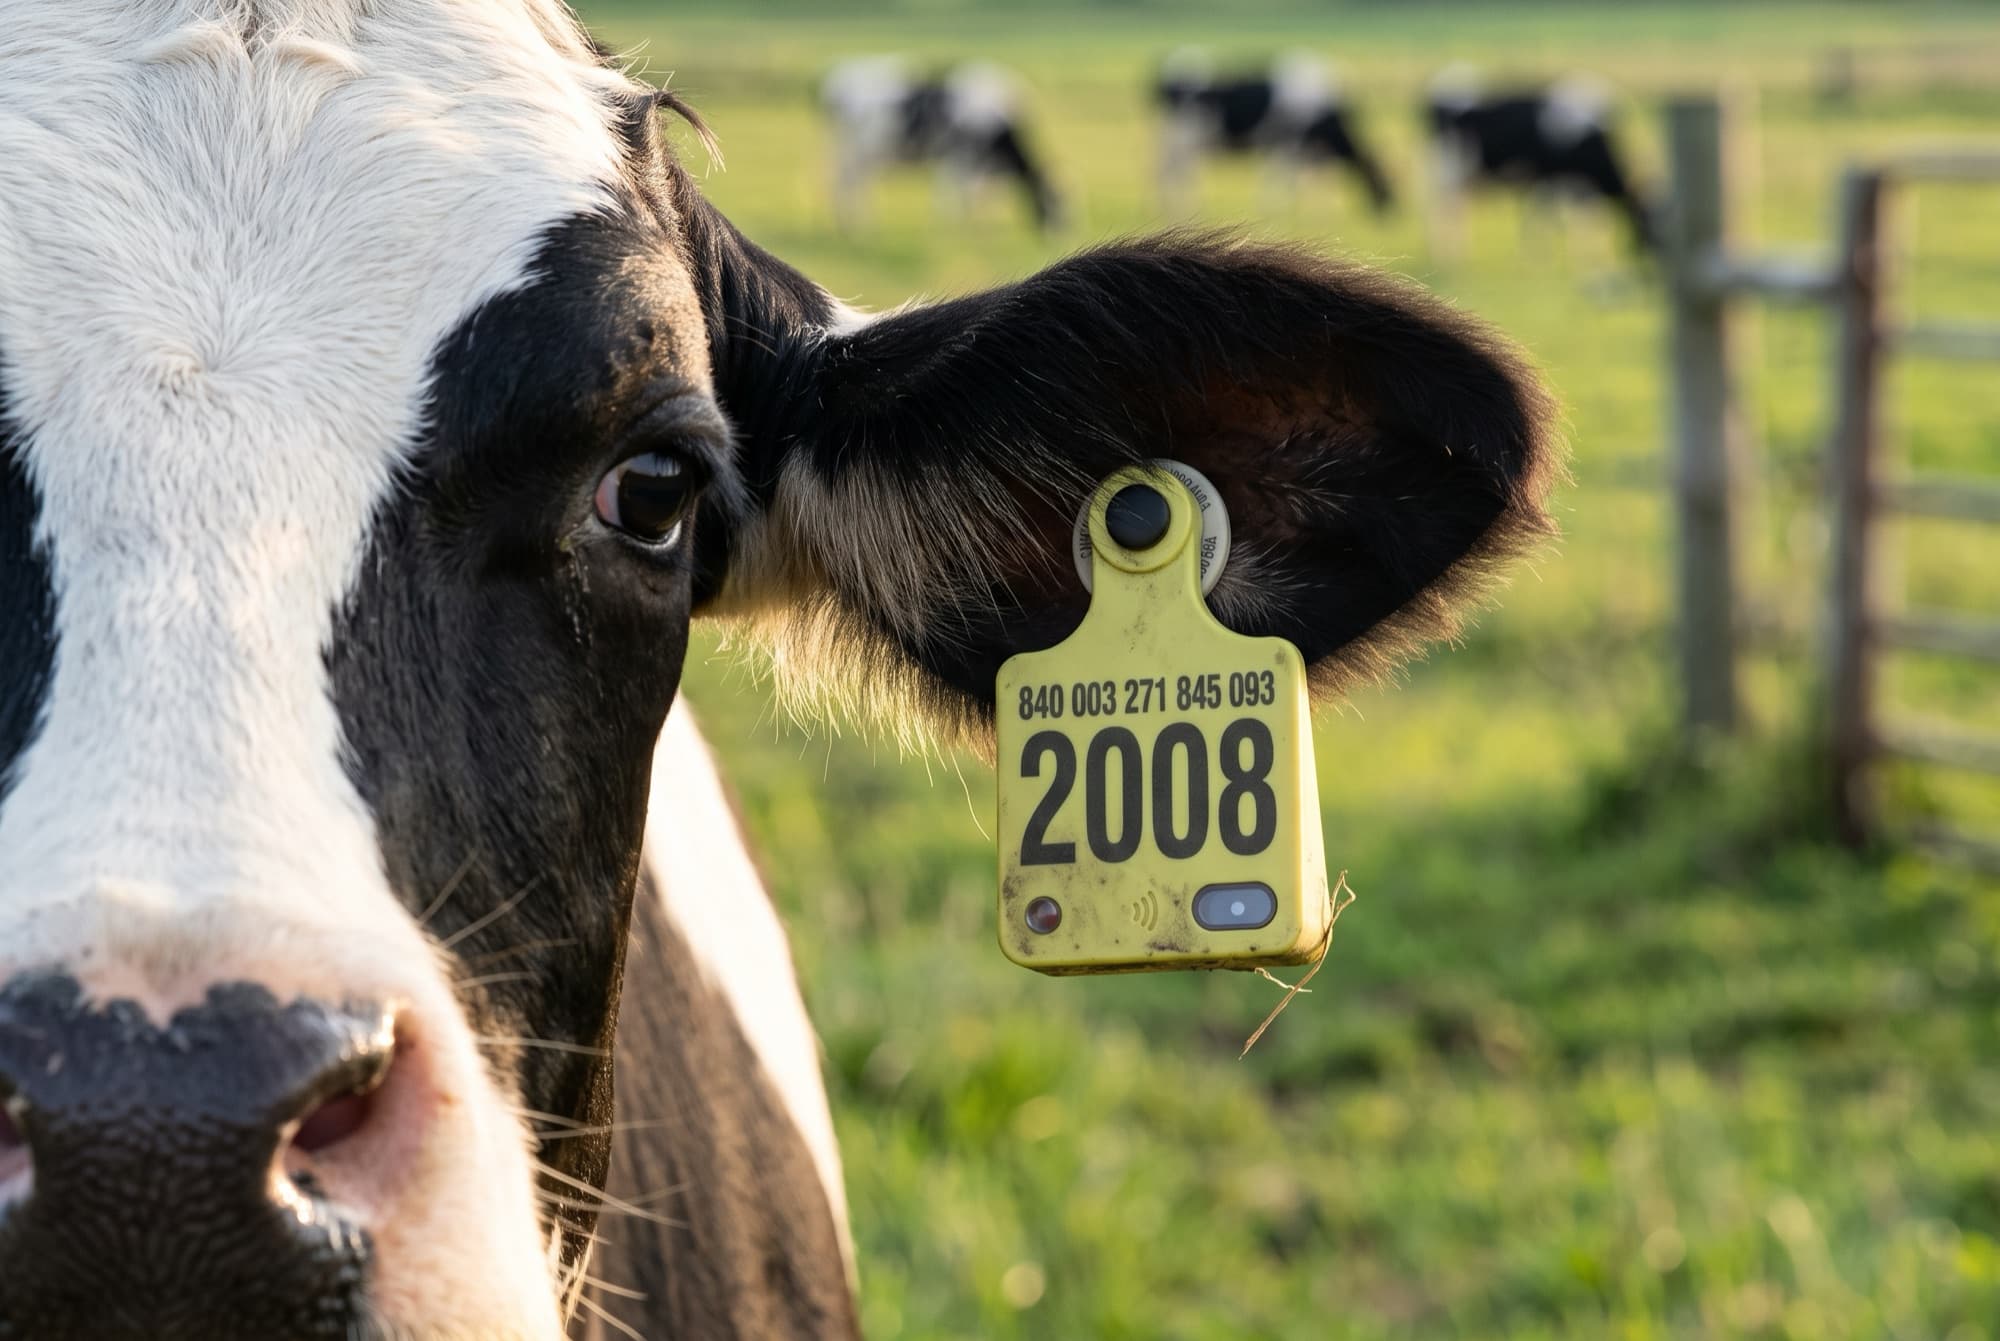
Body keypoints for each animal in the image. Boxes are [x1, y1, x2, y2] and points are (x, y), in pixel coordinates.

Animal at [821, 56, 1063, 234]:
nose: (1058, 233)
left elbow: (978, 193)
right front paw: (954, 225)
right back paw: (859, 225)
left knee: (848, 182)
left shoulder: (977, 164)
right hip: (859, 151)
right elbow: (957, 190)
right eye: (1050, 201)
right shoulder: (960, 155)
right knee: (851, 183)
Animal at [1157, 51, 1396, 220]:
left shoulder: (1301, 148)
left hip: (1176, 141)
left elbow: (1309, 177)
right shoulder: (1286, 140)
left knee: (1171, 172)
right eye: (1384, 185)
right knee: (1176, 173)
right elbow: (1284, 175)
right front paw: (1279, 208)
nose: (1392, 214)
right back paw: (1182, 208)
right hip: (1182, 139)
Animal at [1424, 67, 1659, 263]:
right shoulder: (1548, 174)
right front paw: (1539, 255)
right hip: (1446, 171)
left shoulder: (1569, 182)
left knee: (1456, 209)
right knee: (1441, 209)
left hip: (1460, 177)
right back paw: (1446, 256)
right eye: (1646, 228)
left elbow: (1578, 217)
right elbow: (1545, 215)